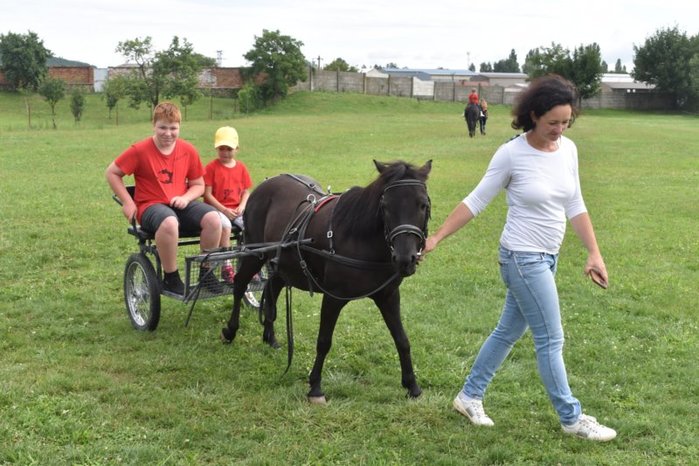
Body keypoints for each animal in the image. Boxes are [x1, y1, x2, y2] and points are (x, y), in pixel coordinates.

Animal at [222, 160, 432, 403]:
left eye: (423, 205)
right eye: (386, 206)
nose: (405, 258)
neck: (360, 238)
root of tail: (266, 184)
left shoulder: (388, 296)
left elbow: (402, 340)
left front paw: (412, 385)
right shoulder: (333, 298)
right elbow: (324, 341)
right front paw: (315, 387)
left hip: (282, 265)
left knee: (272, 290)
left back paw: (270, 337)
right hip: (255, 253)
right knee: (239, 284)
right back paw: (230, 330)